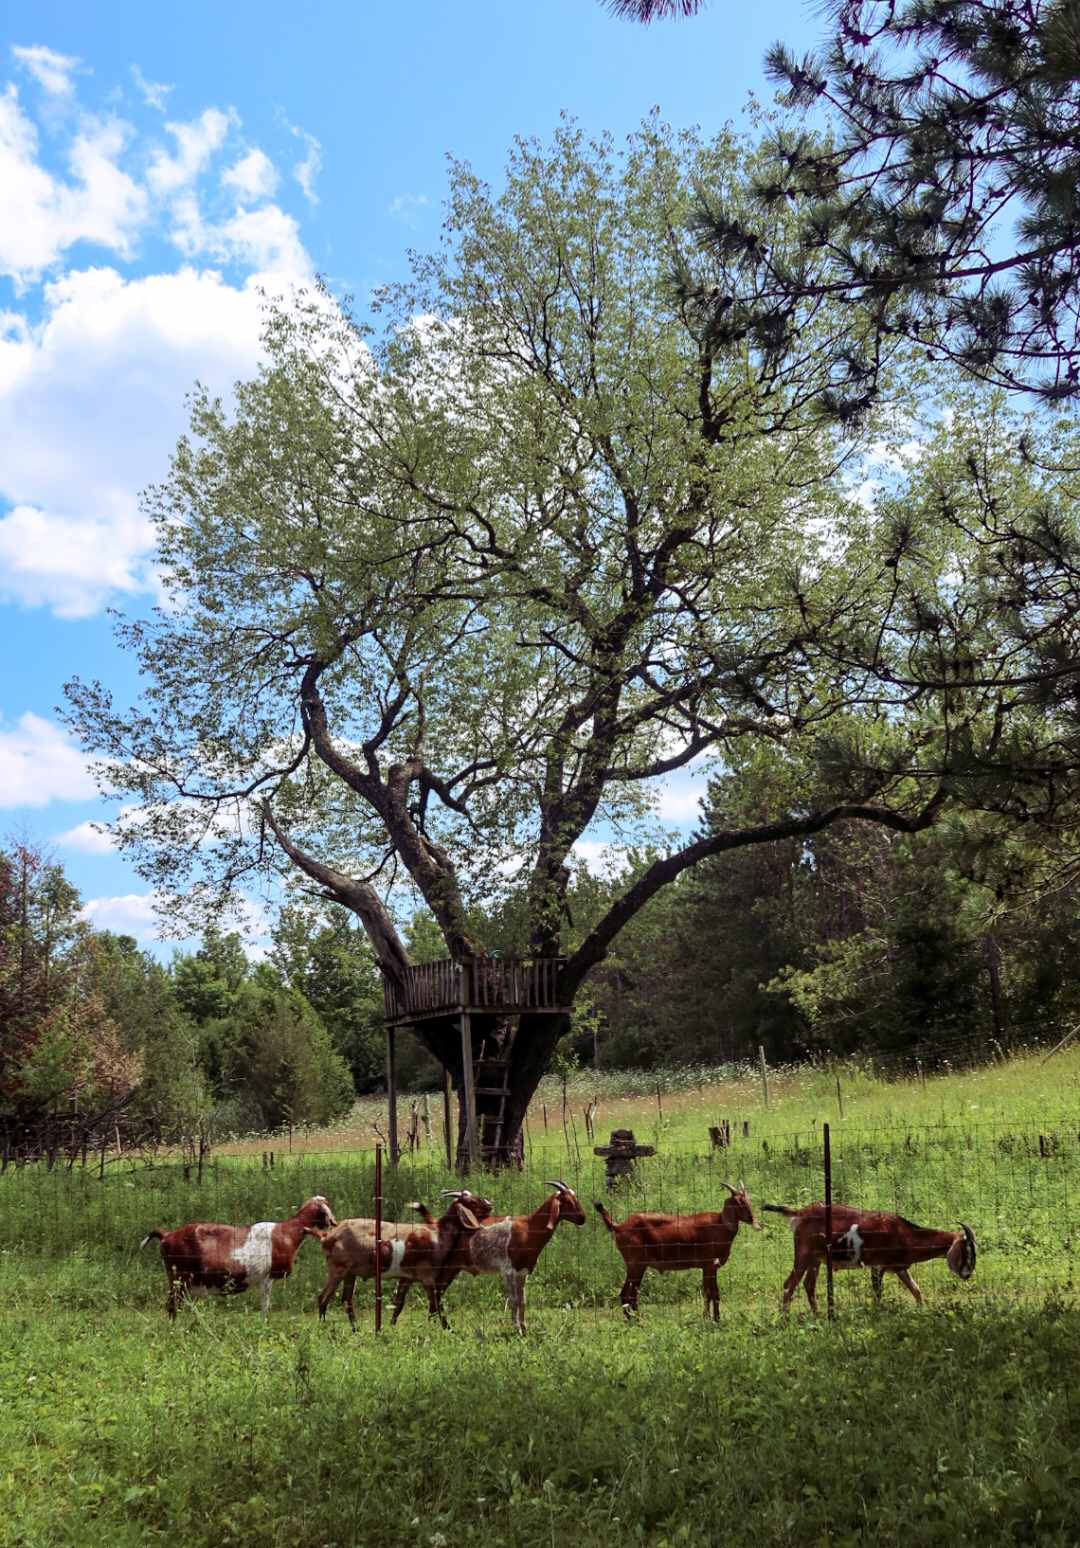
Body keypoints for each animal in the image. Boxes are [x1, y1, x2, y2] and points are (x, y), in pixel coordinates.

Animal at [139, 1195, 336, 1319]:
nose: (333, 1223)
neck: (287, 1232)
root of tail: (167, 1234)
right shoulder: (267, 1277)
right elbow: (265, 1307)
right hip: (179, 1278)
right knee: (172, 1306)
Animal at [308, 1194, 485, 1328]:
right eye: (472, 1202)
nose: (489, 1205)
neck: (438, 1235)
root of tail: (327, 1236)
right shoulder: (427, 1277)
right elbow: (436, 1305)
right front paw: (446, 1330)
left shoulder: (407, 1277)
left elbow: (399, 1304)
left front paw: (390, 1329)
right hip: (337, 1269)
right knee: (323, 1298)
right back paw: (324, 1328)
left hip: (350, 1273)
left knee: (346, 1299)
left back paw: (356, 1329)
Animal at [391, 1181, 587, 1335]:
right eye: (568, 1201)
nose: (583, 1218)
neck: (529, 1228)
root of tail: (435, 1224)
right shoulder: (508, 1270)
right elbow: (514, 1300)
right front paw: (517, 1329)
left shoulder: (522, 1272)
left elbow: (522, 1300)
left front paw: (524, 1328)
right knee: (413, 1294)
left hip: (450, 1270)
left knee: (435, 1295)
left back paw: (440, 1328)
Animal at [595, 1179, 762, 1320]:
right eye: (738, 1201)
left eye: (748, 1200)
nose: (754, 1220)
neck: (720, 1225)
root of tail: (618, 1226)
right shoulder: (710, 1265)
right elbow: (715, 1293)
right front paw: (716, 1319)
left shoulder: (706, 1267)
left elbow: (707, 1293)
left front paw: (706, 1318)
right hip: (636, 1265)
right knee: (627, 1294)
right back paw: (637, 1320)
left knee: (628, 1294)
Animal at [762, 1200, 977, 1312]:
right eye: (966, 1250)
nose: (967, 1274)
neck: (904, 1233)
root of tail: (799, 1213)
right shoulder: (878, 1266)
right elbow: (878, 1294)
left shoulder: (900, 1268)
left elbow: (916, 1290)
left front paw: (922, 1310)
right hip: (804, 1254)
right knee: (789, 1284)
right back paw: (785, 1321)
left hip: (816, 1258)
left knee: (809, 1285)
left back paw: (818, 1317)